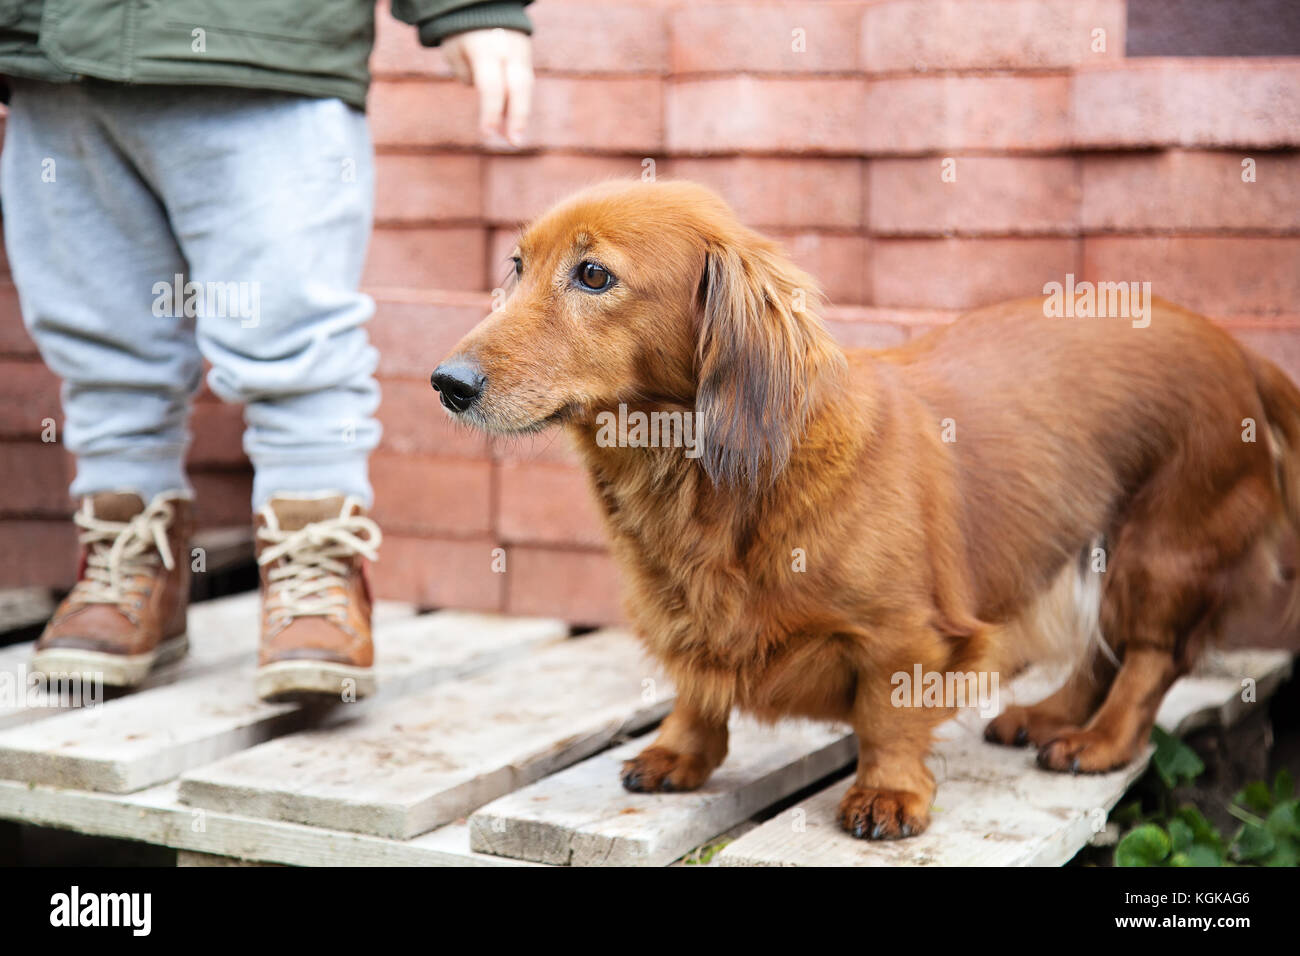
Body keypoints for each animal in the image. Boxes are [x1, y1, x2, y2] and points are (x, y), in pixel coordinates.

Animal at [434, 179, 1300, 837]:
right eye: (518, 265)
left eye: (593, 275)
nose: (446, 383)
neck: (708, 486)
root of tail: (1240, 350)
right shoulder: (684, 614)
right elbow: (695, 683)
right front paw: (682, 751)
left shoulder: (905, 636)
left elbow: (887, 713)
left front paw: (887, 794)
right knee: (1103, 652)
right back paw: (1050, 716)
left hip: (1161, 551)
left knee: (1151, 658)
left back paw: (1099, 741)